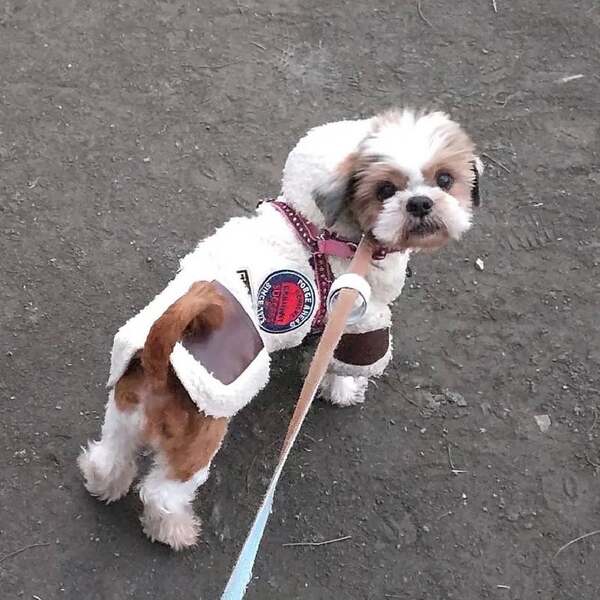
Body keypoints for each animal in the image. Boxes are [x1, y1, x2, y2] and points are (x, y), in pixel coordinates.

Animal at [78, 108, 482, 550]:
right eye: (386, 189)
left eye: (445, 179)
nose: (420, 203)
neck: (323, 228)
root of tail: (157, 359)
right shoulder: (358, 321)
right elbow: (342, 365)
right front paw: (343, 390)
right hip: (197, 442)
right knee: (162, 493)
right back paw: (175, 530)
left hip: (123, 416)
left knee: (111, 455)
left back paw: (103, 483)